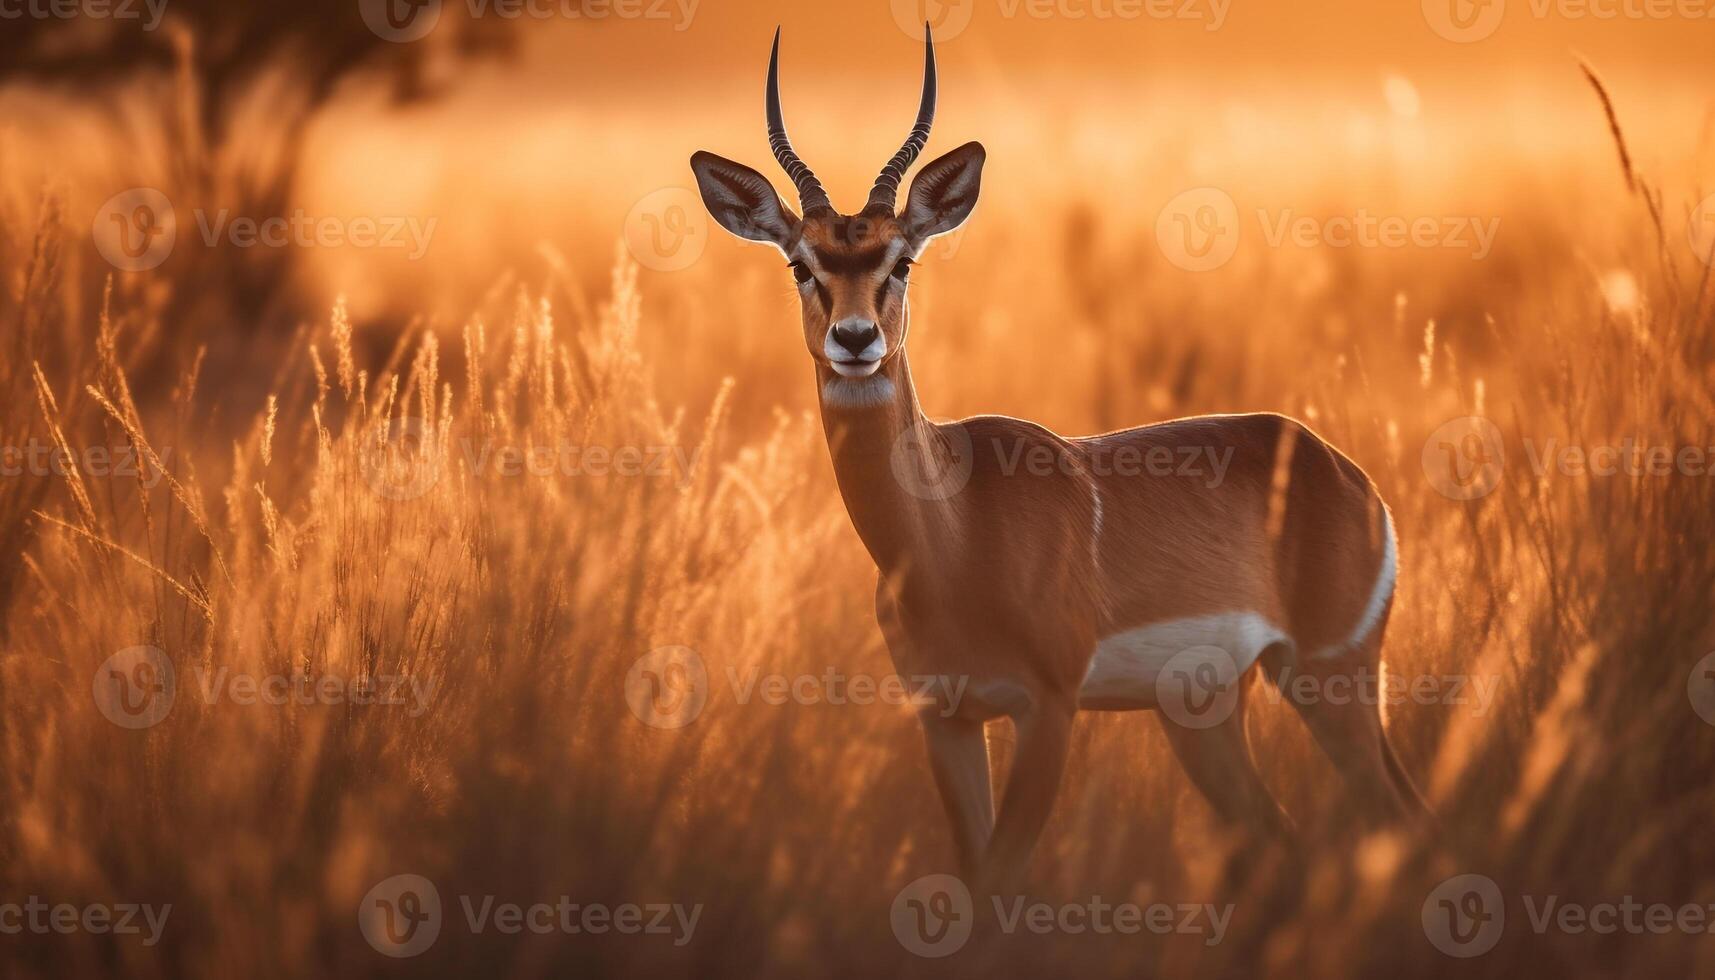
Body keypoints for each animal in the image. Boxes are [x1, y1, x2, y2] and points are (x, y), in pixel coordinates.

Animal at [689, 28, 1426, 892]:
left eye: (901, 261)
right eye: (800, 264)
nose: (855, 339)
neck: (951, 539)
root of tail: (1340, 469)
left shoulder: (1047, 707)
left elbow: (1003, 880)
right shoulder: (944, 716)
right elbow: (974, 878)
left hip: (1328, 674)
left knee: (1401, 818)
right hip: (1205, 713)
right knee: (1288, 837)